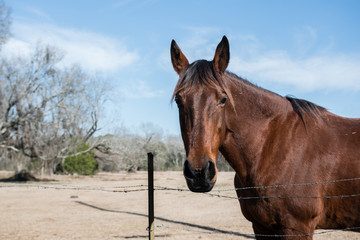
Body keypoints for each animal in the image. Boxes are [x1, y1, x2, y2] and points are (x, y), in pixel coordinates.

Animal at [169, 36, 360, 240]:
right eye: (179, 100)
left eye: (223, 99)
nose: (199, 173)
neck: (271, 146)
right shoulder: (261, 227)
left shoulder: (298, 227)